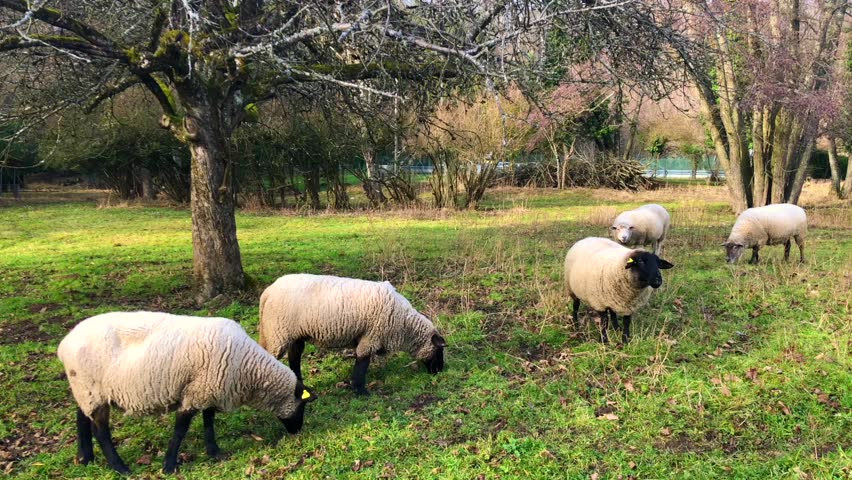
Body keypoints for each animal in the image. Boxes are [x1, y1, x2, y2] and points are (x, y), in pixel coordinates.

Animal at [57, 311, 317, 475]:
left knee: (81, 418)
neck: (248, 370)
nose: (297, 431)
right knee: (101, 431)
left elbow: (209, 420)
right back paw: (121, 468)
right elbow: (181, 429)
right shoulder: (193, 393)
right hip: (91, 387)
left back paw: (85, 458)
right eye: (302, 406)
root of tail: (64, 344)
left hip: (86, 389)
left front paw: (214, 452)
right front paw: (169, 466)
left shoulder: (208, 389)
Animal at [258, 274, 446, 396]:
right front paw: (360, 390)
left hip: (293, 335)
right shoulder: (371, 337)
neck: (404, 326)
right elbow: (362, 363)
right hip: (277, 333)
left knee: (294, 357)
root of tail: (267, 292)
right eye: (439, 351)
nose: (440, 371)